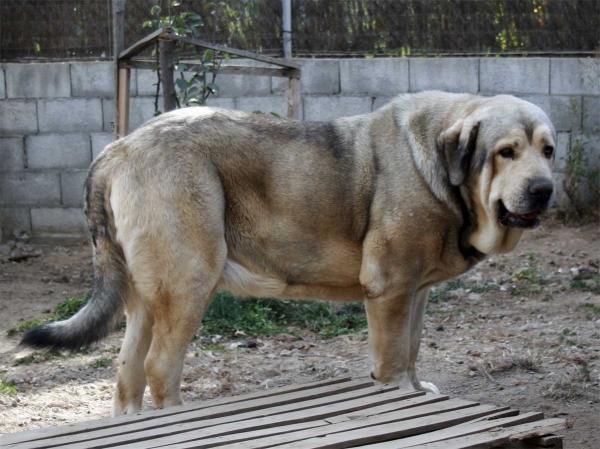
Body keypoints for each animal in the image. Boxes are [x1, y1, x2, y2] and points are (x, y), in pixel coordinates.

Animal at [24, 92, 556, 416]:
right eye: (506, 152)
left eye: (548, 150)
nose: (545, 189)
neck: (442, 170)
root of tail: (119, 147)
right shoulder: (389, 289)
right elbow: (391, 358)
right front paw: (398, 400)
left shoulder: (414, 292)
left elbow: (411, 349)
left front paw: (414, 389)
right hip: (190, 284)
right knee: (160, 367)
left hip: (145, 299)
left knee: (127, 372)